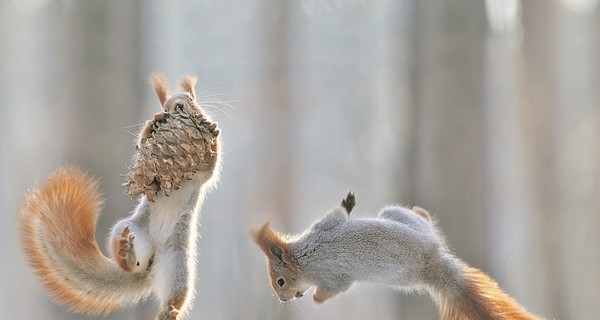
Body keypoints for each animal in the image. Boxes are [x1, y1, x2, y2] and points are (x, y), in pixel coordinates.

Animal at [18, 74, 221, 320]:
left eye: (191, 99)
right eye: (165, 106)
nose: (177, 106)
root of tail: (151, 263)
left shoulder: (203, 175)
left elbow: (211, 165)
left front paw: (212, 129)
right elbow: (143, 143)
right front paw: (152, 124)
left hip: (177, 267)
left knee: (175, 294)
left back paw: (168, 311)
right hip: (128, 229)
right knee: (128, 260)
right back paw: (125, 255)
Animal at [251, 192, 540, 320]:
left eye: (280, 282)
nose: (284, 300)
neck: (304, 257)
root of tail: (435, 260)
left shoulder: (331, 276)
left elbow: (332, 291)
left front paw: (315, 299)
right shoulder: (324, 226)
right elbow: (339, 215)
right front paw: (347, 204)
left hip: (402, 275)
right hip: (401, 218)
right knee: (420, 216)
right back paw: (421, 212)